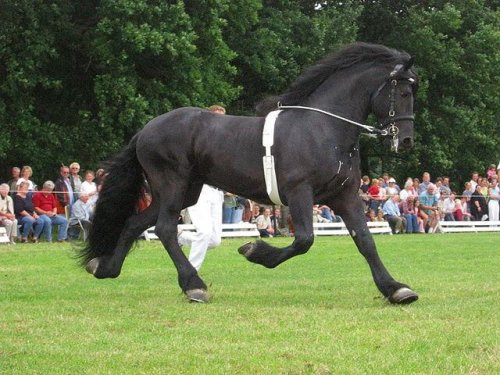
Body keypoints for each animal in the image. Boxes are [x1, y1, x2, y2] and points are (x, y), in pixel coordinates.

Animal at [81, 41, 418, 306]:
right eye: (403, 91)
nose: (405, 140)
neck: (324, 129)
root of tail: (146, 130)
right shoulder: (300, 192)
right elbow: (304, 240)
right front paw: (254, 250)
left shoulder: (344, 195)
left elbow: (365, 241)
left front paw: (396, 289)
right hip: (173, 186)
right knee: (164, 229)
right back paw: (194, 285)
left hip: (182, 191)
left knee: (135, 223)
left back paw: (105, 267)